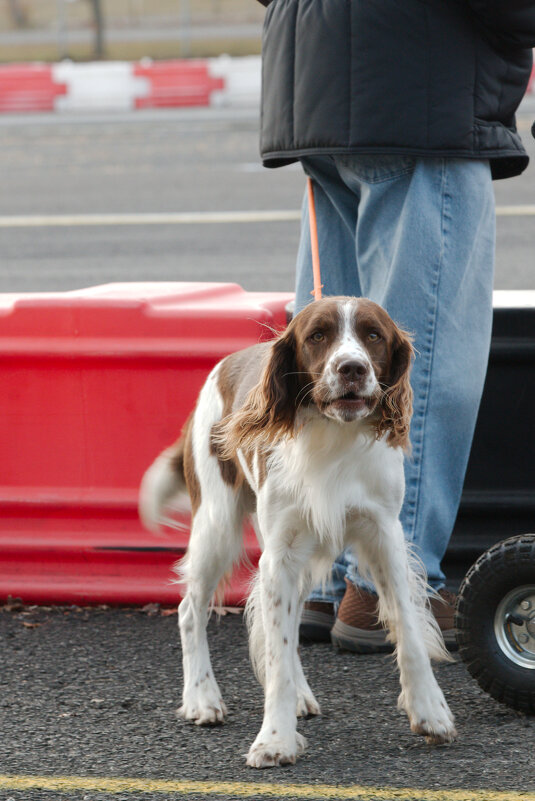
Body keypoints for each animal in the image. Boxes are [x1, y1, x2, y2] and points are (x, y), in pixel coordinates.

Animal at [138, 296, 456, 764]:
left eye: (373, 335)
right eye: (318, 336)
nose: (352, 369)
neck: (334, 437)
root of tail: (226, 363)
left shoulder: (384, 538)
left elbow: (409, 631)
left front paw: (430, 711)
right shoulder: (281, 555)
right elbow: (277, 653)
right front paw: (275, 739)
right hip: (216, 525)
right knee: (190, 610)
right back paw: (202, 698)